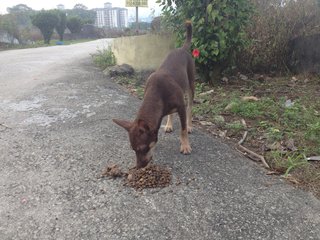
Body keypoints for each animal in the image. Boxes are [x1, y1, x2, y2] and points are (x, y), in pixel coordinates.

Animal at [114, 22, 196, 169]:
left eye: (143, 148)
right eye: (133, 149)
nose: (138, 167)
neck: (157, 94)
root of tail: (182, 48)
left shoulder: (181, 107)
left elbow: (183, 129)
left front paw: (185, 145)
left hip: (191, 86)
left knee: (190, 106)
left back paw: (190, 125)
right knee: (171, 113)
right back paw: (168, 124)